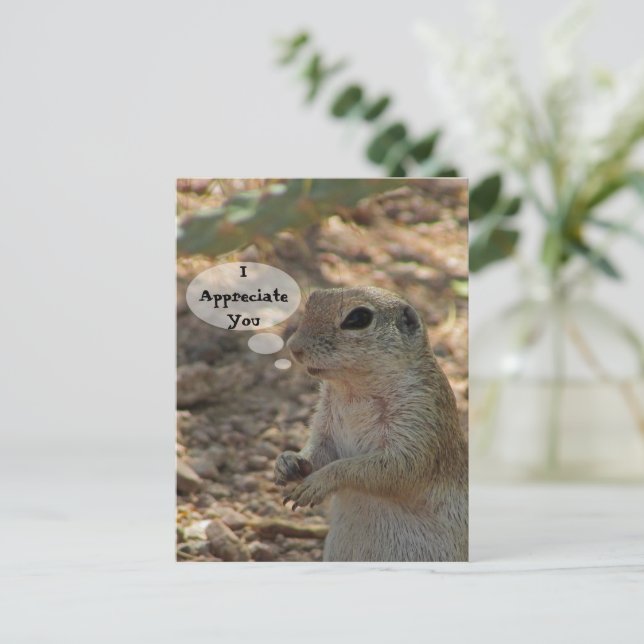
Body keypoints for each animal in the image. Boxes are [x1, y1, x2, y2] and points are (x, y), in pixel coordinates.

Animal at [274, 286, 468, 562]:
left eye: (358, 318)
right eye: (311, 301)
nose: (294, 347)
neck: (354, 392)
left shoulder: (420, 417)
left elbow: (394, 468)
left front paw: (318, 482)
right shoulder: (325, 424)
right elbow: (320, 450)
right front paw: (289, 461)